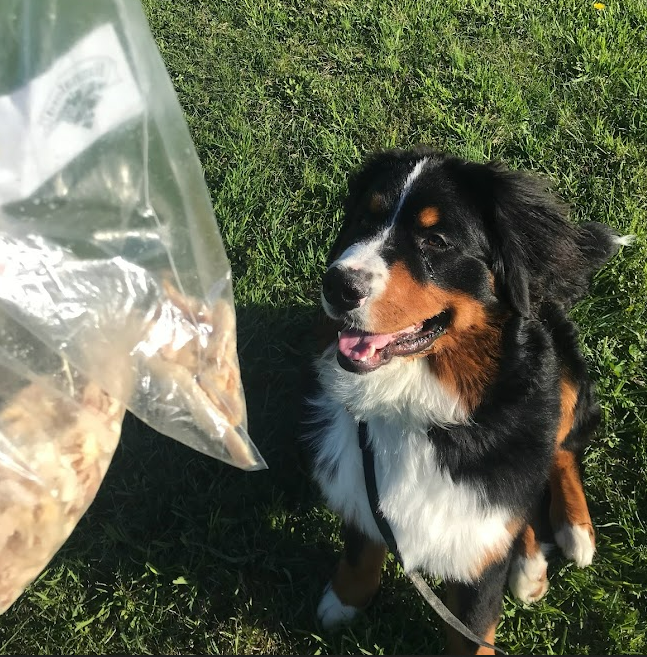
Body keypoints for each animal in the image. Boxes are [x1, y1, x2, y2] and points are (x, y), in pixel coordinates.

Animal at [306, 146, 632, 652]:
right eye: (363, 218)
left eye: (436, 240)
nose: (338, 285)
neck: (417, 406)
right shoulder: (364, 477)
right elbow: (361, 547)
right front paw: (344, 600)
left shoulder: (478, 549)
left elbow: (473, 632)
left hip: (562, 373)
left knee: (561, 451)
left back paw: (572, 533)